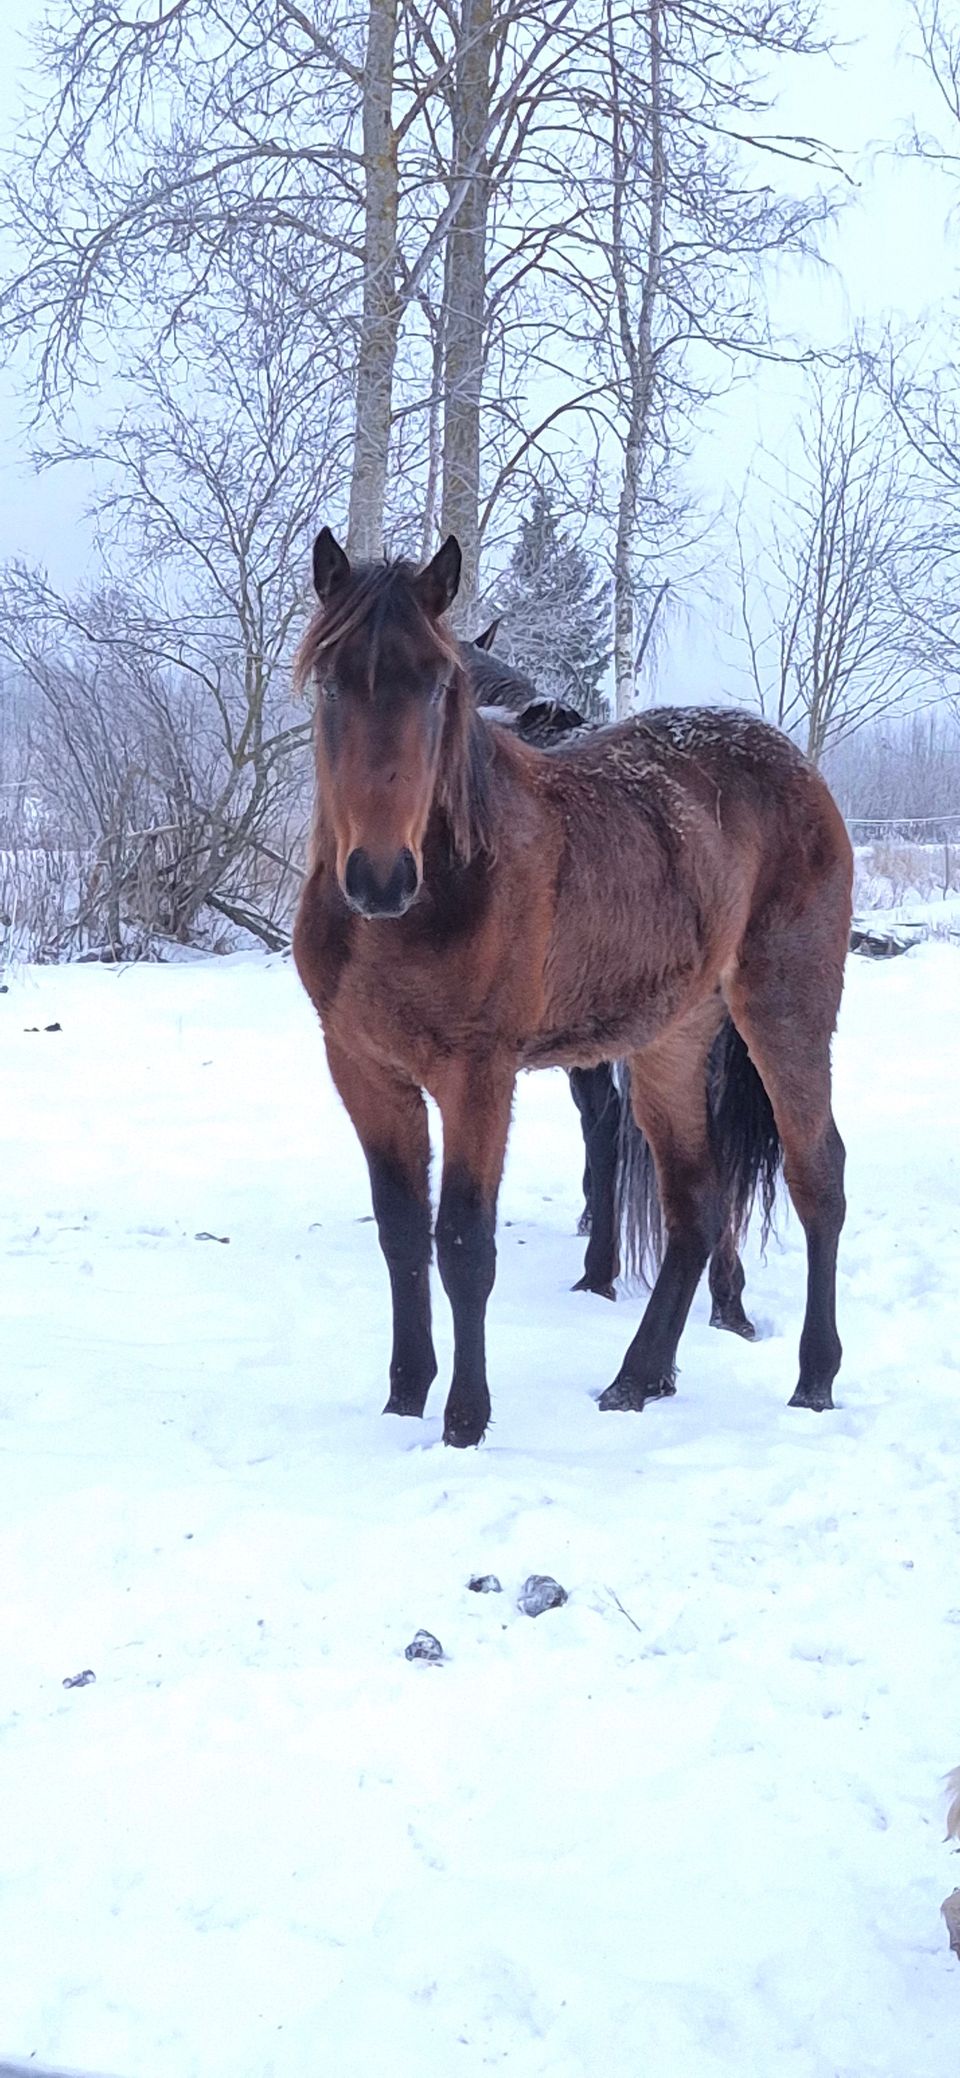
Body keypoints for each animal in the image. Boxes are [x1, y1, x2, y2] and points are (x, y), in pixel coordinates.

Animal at [292, 531, 847, 1446]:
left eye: (438, 683)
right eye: (331, 680)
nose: (379, 875)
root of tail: (794, 767)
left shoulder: (479, 1076)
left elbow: (463, 1244)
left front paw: (464, 1423)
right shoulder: (362, 1069)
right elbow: (404, 1236)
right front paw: (404, 1399)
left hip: (785, 1009)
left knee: (817, 1178)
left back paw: (813, 1380)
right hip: (670, 1039)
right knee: (695, 1202)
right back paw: (638, 1378)